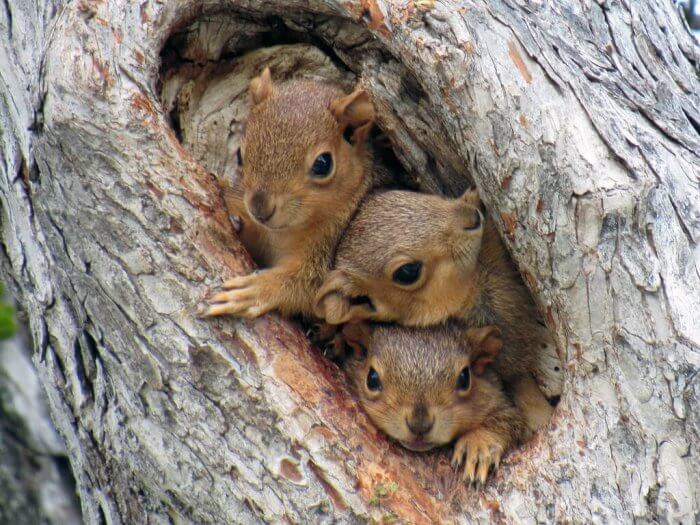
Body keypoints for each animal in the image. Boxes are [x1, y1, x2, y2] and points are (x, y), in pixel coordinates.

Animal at [202, 67, 375, 319]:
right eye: (239, 154)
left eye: (323, 164)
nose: (260, 210)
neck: (280, 234)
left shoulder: (330, 247)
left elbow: (307, 286)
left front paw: (253, 290)